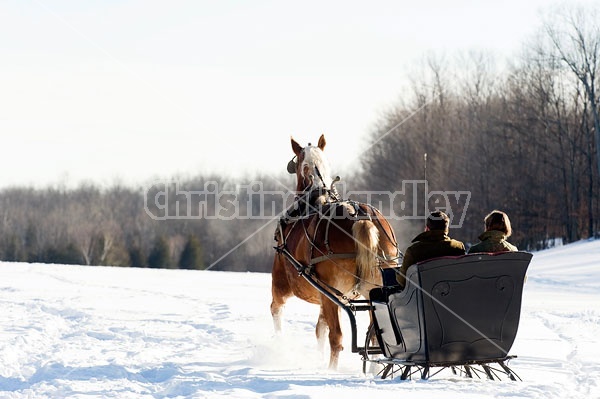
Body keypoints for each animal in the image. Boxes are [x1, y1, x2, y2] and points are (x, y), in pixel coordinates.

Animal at [270, 135, 398, 372]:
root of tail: (360, 216)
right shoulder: (325, 297)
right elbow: (320, 328)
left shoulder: (283, 283)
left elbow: (278, 312)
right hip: (372, 288)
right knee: (375, 336)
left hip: (327, 291)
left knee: (336, 338)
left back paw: (331, 371)